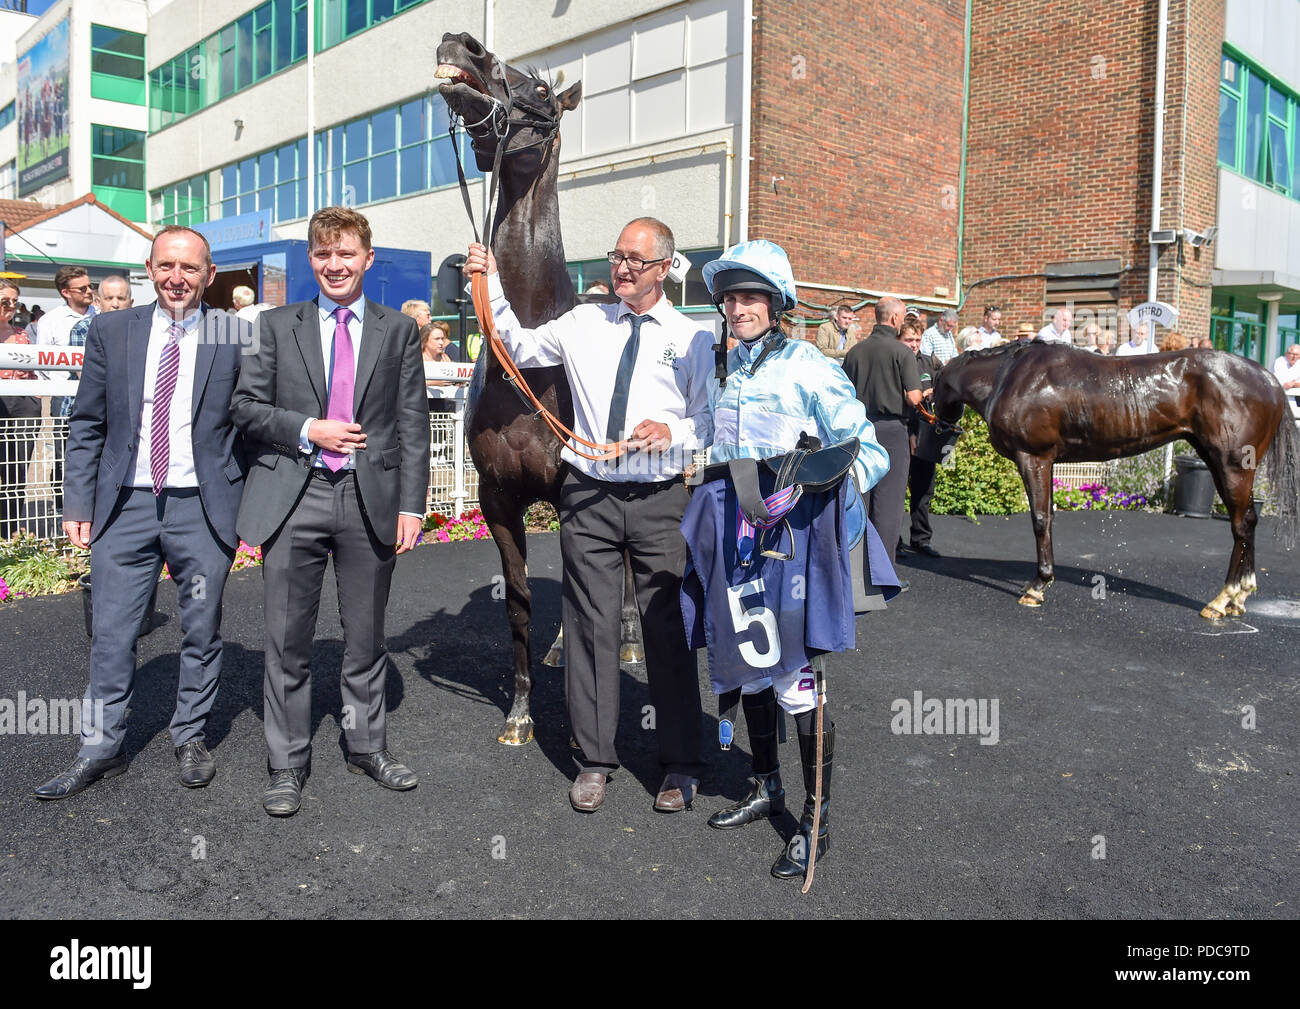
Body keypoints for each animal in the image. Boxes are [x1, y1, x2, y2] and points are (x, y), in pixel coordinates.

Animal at [436, 33, 639, 738]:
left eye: (544, 91)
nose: (464, 46)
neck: (533, 368)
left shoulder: (578, 496)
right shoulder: (498, 499)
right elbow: (521, 602)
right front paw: (521, 713)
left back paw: (628, 638)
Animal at [935, 343, 1300, 618]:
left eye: (933, 388)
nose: (938, 427)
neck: (1008, 376)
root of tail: (1270, 382)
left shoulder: (1034, 458)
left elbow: (1039, 519)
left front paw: (1038, 586)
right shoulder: (1049, 462)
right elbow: (1049, 517)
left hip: (1232, 465)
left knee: (1241, 525)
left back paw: (1222, 599)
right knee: (1248, 521)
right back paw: (1239, 597)